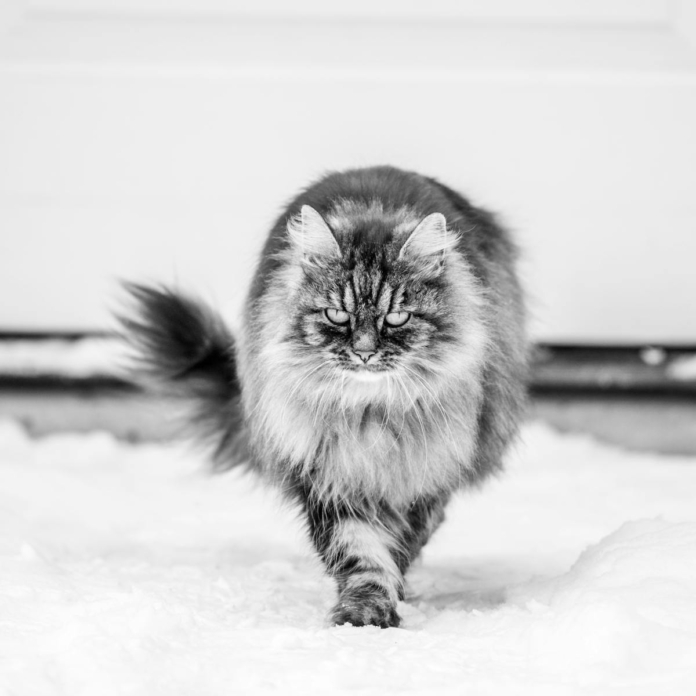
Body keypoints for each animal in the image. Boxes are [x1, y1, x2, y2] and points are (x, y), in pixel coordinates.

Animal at [121, 166, 528, 628]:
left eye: (396, 317)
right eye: (337, 315)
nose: (365, 352)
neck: (371, 418)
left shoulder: (423, 475)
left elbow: (402, 542)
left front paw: (389, 598)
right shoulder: (328, 475)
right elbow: (360, 552)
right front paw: (363, 612)